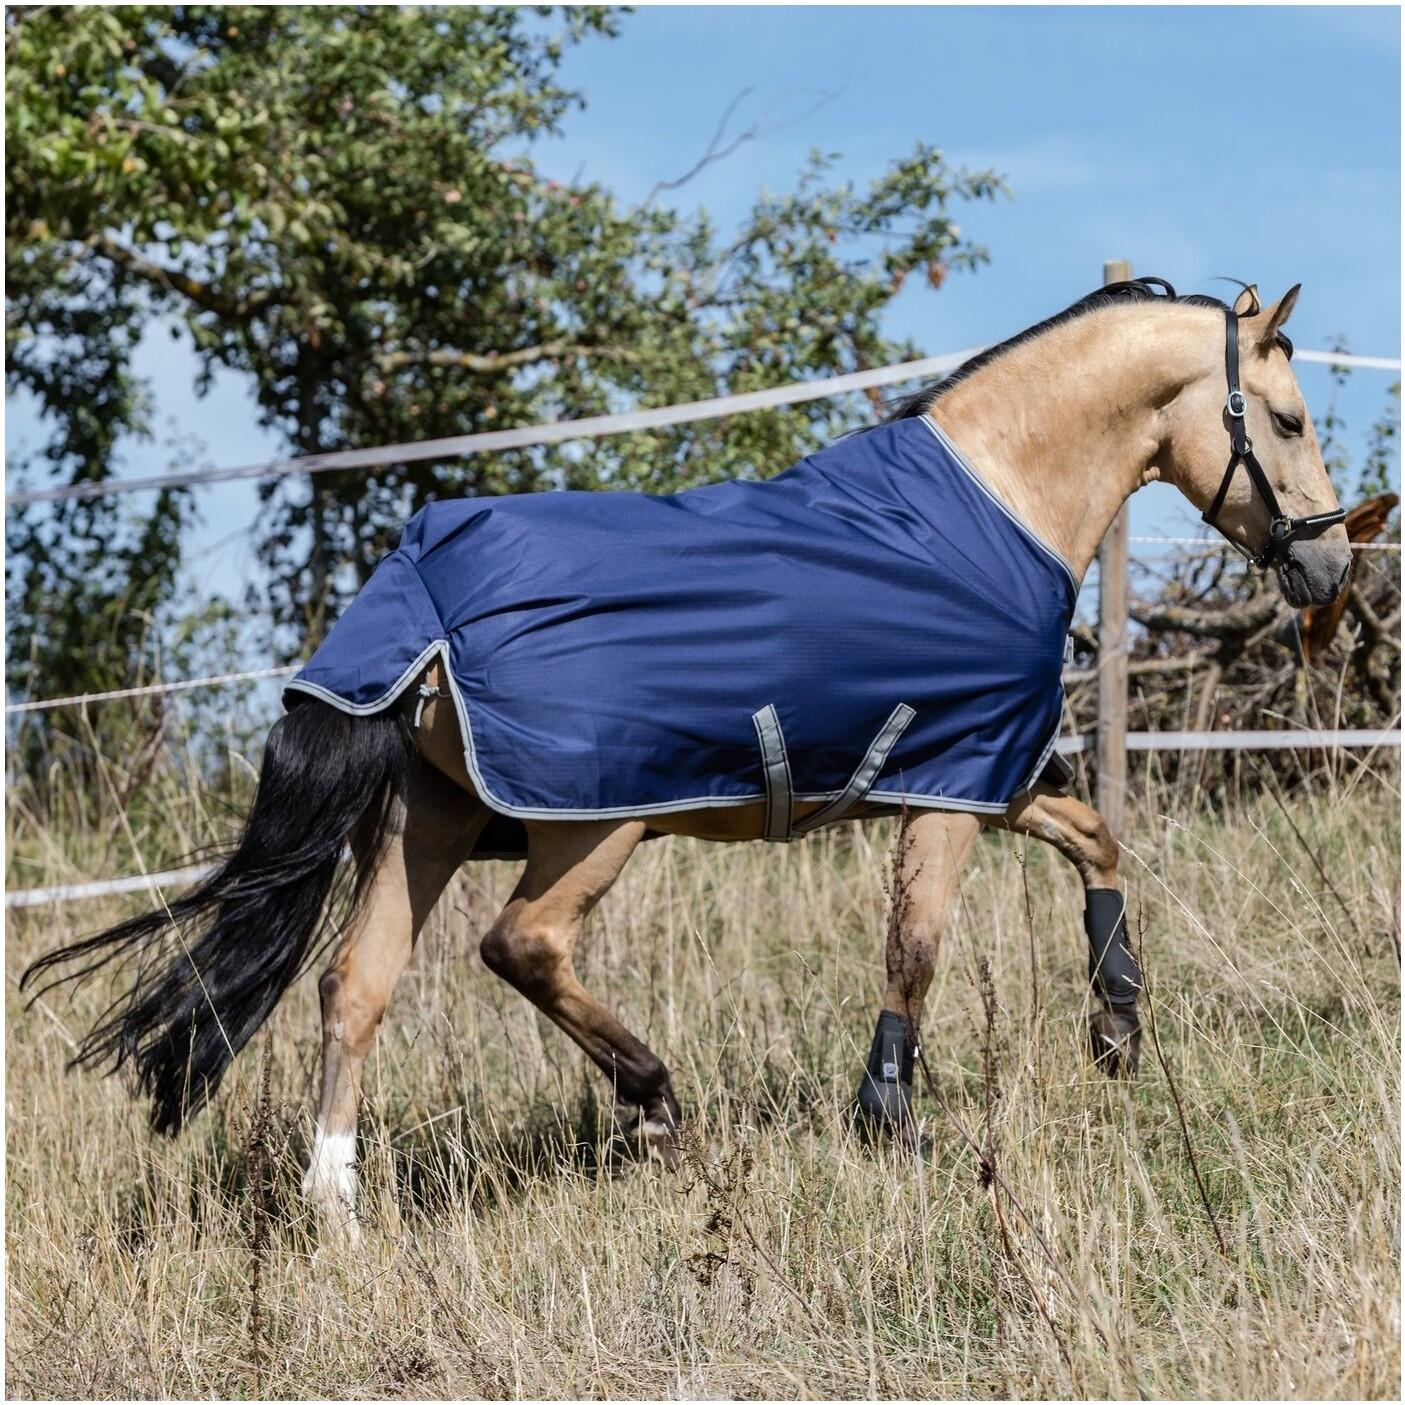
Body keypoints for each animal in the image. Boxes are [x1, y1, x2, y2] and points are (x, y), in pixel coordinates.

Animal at [24, 277, 1350, 1239]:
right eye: (1286, 419)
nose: (1327, 566)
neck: (993, 501)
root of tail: (420, 591)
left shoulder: (995, 772)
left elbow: (1096, 840)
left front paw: (1115, 1028)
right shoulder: (953, 783)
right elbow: (916, 949)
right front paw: (892, 1121)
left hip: (431, 819)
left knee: (355, 989)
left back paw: (339, 1210)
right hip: (588, 824)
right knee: (521, 946)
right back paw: (656, 1103)